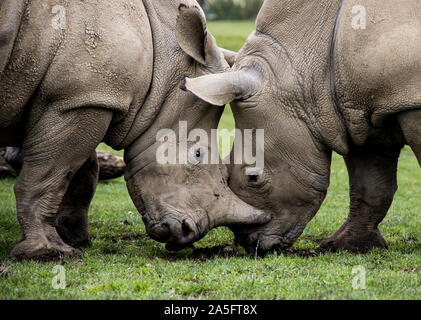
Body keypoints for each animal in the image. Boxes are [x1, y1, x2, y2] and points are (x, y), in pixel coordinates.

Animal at [0, 0, 270, 260]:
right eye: (197, 154)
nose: (187, 232)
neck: (162, 67)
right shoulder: (77, 99)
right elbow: (48, 175)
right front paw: (48, 252)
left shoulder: (86, 98)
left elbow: (79, 173)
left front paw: (75, 238)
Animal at [183, 0, 420, 254]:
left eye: (253, 177)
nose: (251, 244)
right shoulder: (357, 111)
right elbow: (371, 185)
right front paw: (347, 246)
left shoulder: (407, 99)